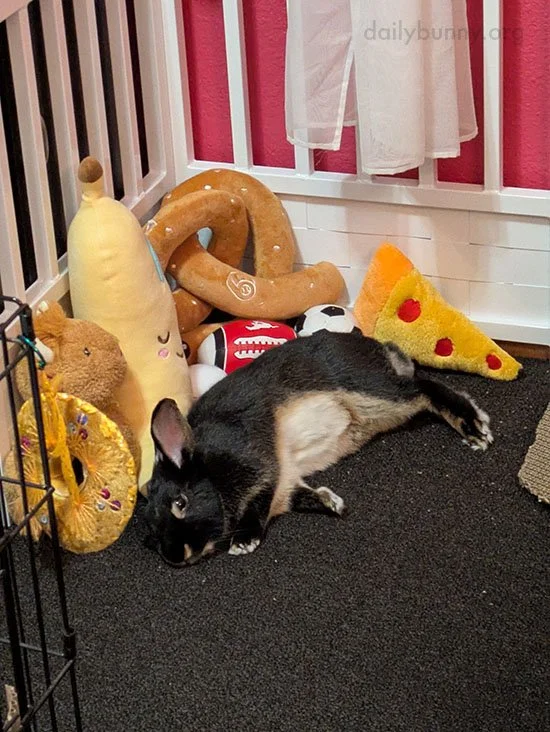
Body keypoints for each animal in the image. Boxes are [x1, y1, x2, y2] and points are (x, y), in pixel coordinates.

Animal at [143, 330, 492, 567]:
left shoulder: (261, 464)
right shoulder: (287, 479)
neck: (212, 474)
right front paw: (332, 503)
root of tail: (381, 350)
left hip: (372, 393)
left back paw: (474, 425)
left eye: (181, 503)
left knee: (425, 389)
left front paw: (244, 541)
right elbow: (299, 493)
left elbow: (260, 501)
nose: (177, 556)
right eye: (152, 527)